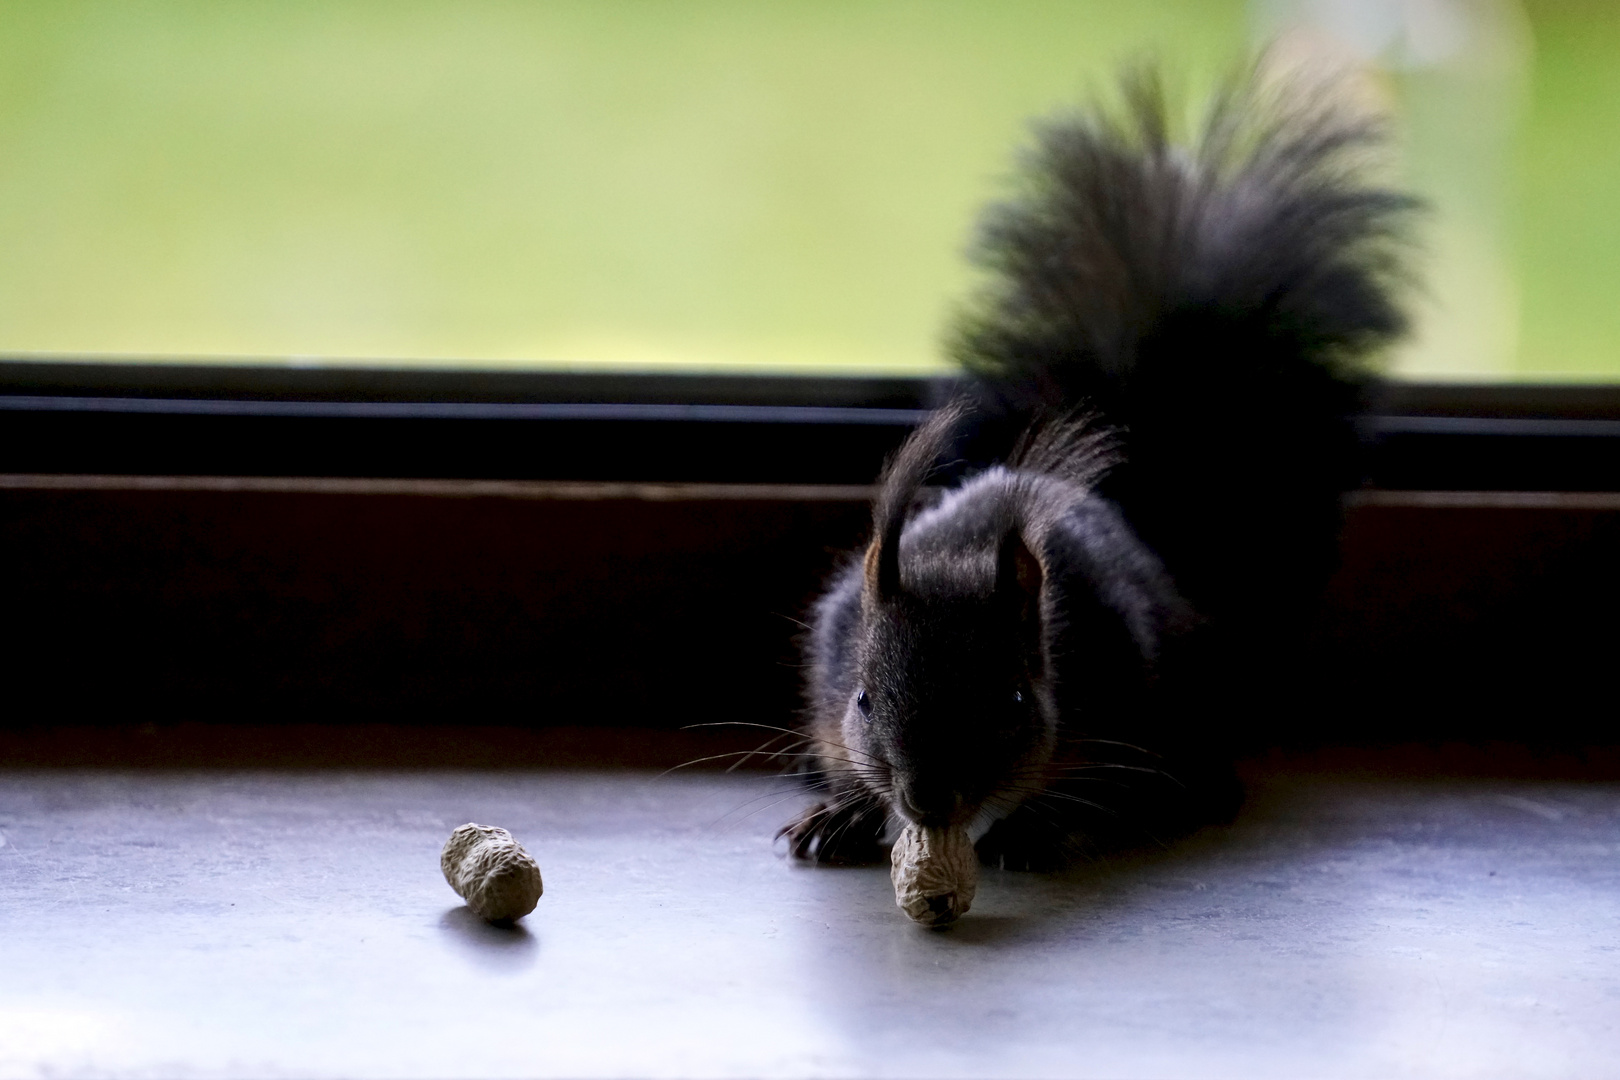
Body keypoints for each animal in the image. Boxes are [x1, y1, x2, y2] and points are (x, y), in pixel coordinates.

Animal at [780, 59, 1419, 874]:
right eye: (863, 699)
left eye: (1016, 700)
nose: (928, 800)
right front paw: (843, 813)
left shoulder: (1121, 692)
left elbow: (1096, 791)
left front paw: (1031, 829)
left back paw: (1202, 788)